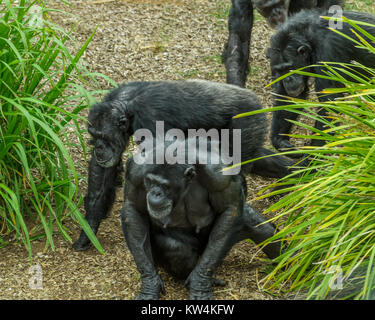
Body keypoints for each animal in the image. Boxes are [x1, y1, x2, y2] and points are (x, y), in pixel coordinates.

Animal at [71, 79, 294, 251]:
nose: (99, 148)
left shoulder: (153, 122)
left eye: (104, 137)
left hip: (245, 124)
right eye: (94, 135)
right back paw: (294, 174)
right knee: (257, 158)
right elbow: (103, 174)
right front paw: (88, 231)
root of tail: (256, 99)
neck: (129, 105)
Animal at [122, 138, 280, 300]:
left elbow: (230, 209)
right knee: (176, 248)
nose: (155, 192)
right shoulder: (136, 172)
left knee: (263, 229)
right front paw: (150, 285)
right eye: (150, 181)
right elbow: (133, 208)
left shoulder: (220, 177)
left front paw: (200, 284)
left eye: (165, 186)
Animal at [268, 10, 375, 153]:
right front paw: (279, 140)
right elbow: (288, 98)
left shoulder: (328, 51)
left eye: (289, 69)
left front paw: (313, 154)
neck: (308, 37)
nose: (288, 79)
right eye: (280, 71)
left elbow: (328, 105)